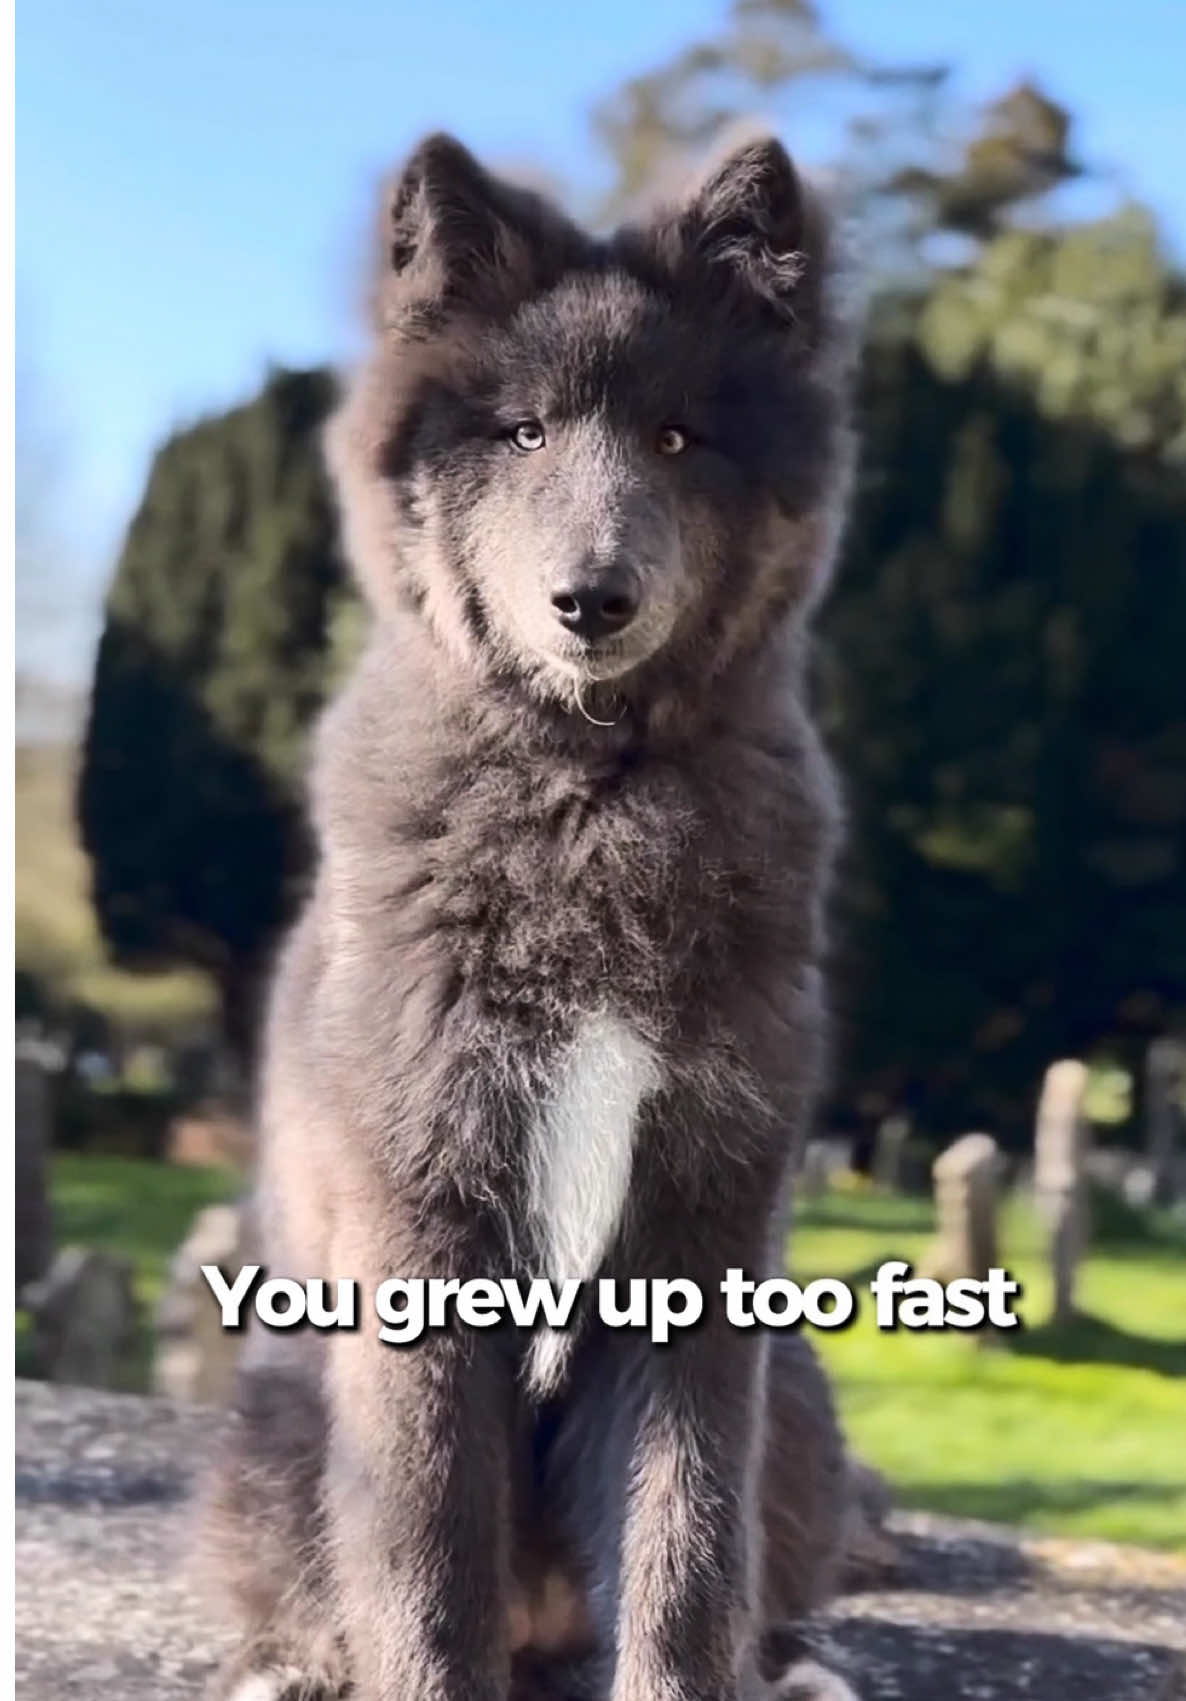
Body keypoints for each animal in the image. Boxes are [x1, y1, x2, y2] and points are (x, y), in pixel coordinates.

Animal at [198, 129, 861, 1701]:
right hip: (274, 1422)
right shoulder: (420, 1231)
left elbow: (686, 1549)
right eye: (519, 436)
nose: (589, 602)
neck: (586, 799)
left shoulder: (704, 1238)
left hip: (802, 1392)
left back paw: (795, 1665)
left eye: (677, 439)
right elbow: (429, 1553)